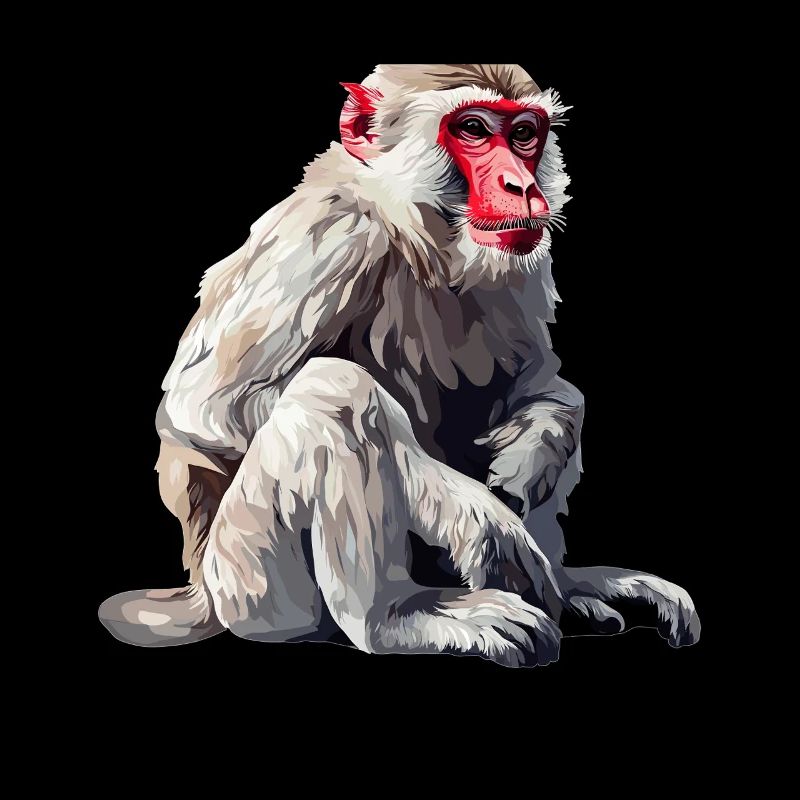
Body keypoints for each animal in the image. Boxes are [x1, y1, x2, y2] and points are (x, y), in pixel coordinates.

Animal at [99, 63, 700, 667]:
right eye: (473, 129)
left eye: (524, 134)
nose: (522, 186)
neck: (420, 233)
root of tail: (201, 591)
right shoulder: (330, 234)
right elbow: (206, 411)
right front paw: (471, 511)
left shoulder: (523, 260)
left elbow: (539, 383)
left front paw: (535, 448)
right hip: (249, 583)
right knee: (334, 391)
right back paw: (397, 617)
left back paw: (569, 589)